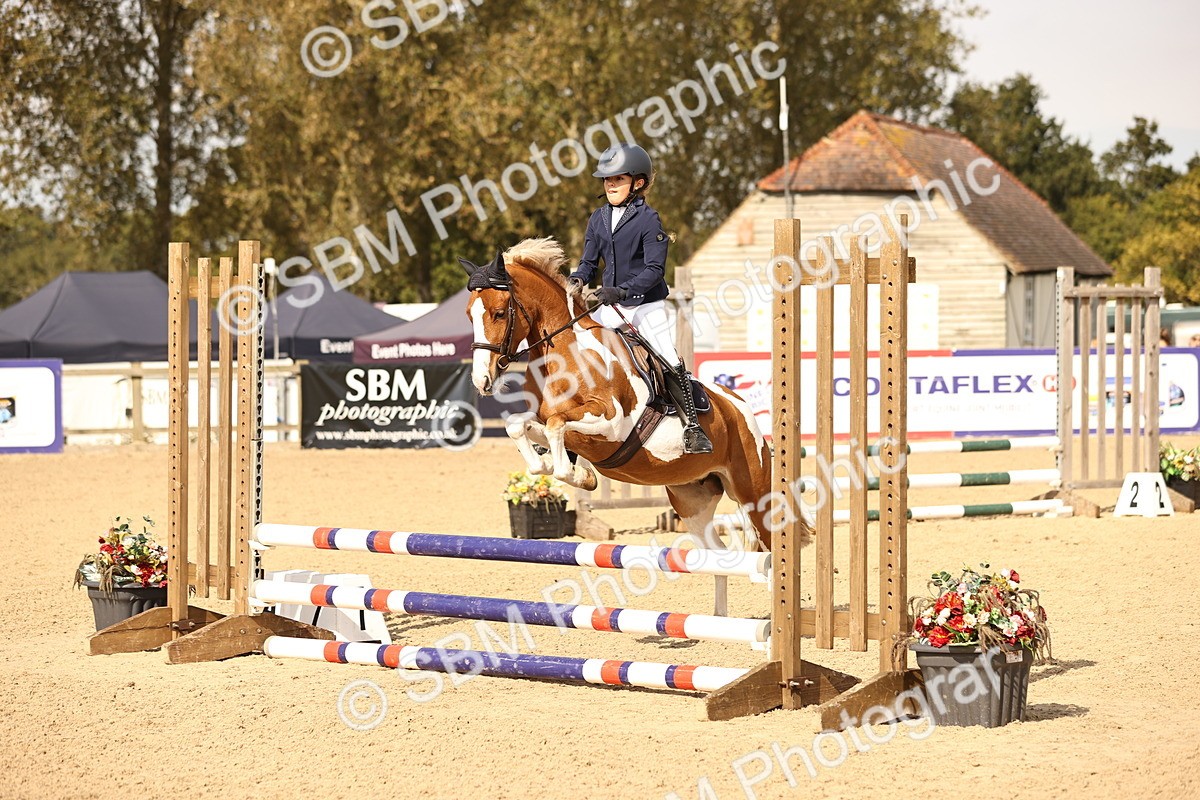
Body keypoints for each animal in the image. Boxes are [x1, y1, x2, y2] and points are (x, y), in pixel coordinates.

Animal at [461, 237, 810, 614]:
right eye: (469, 314)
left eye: (499, 312)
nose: (481, 381)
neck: (566, 355)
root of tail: (740, 408)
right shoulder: (553, 424)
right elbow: (520, 427)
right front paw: (565, 470)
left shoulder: (610, 423)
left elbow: (556, 426)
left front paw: (575, 474)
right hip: (693, 499)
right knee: (717, 557)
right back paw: (720, 619)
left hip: (752, 491)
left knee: (774, 547)